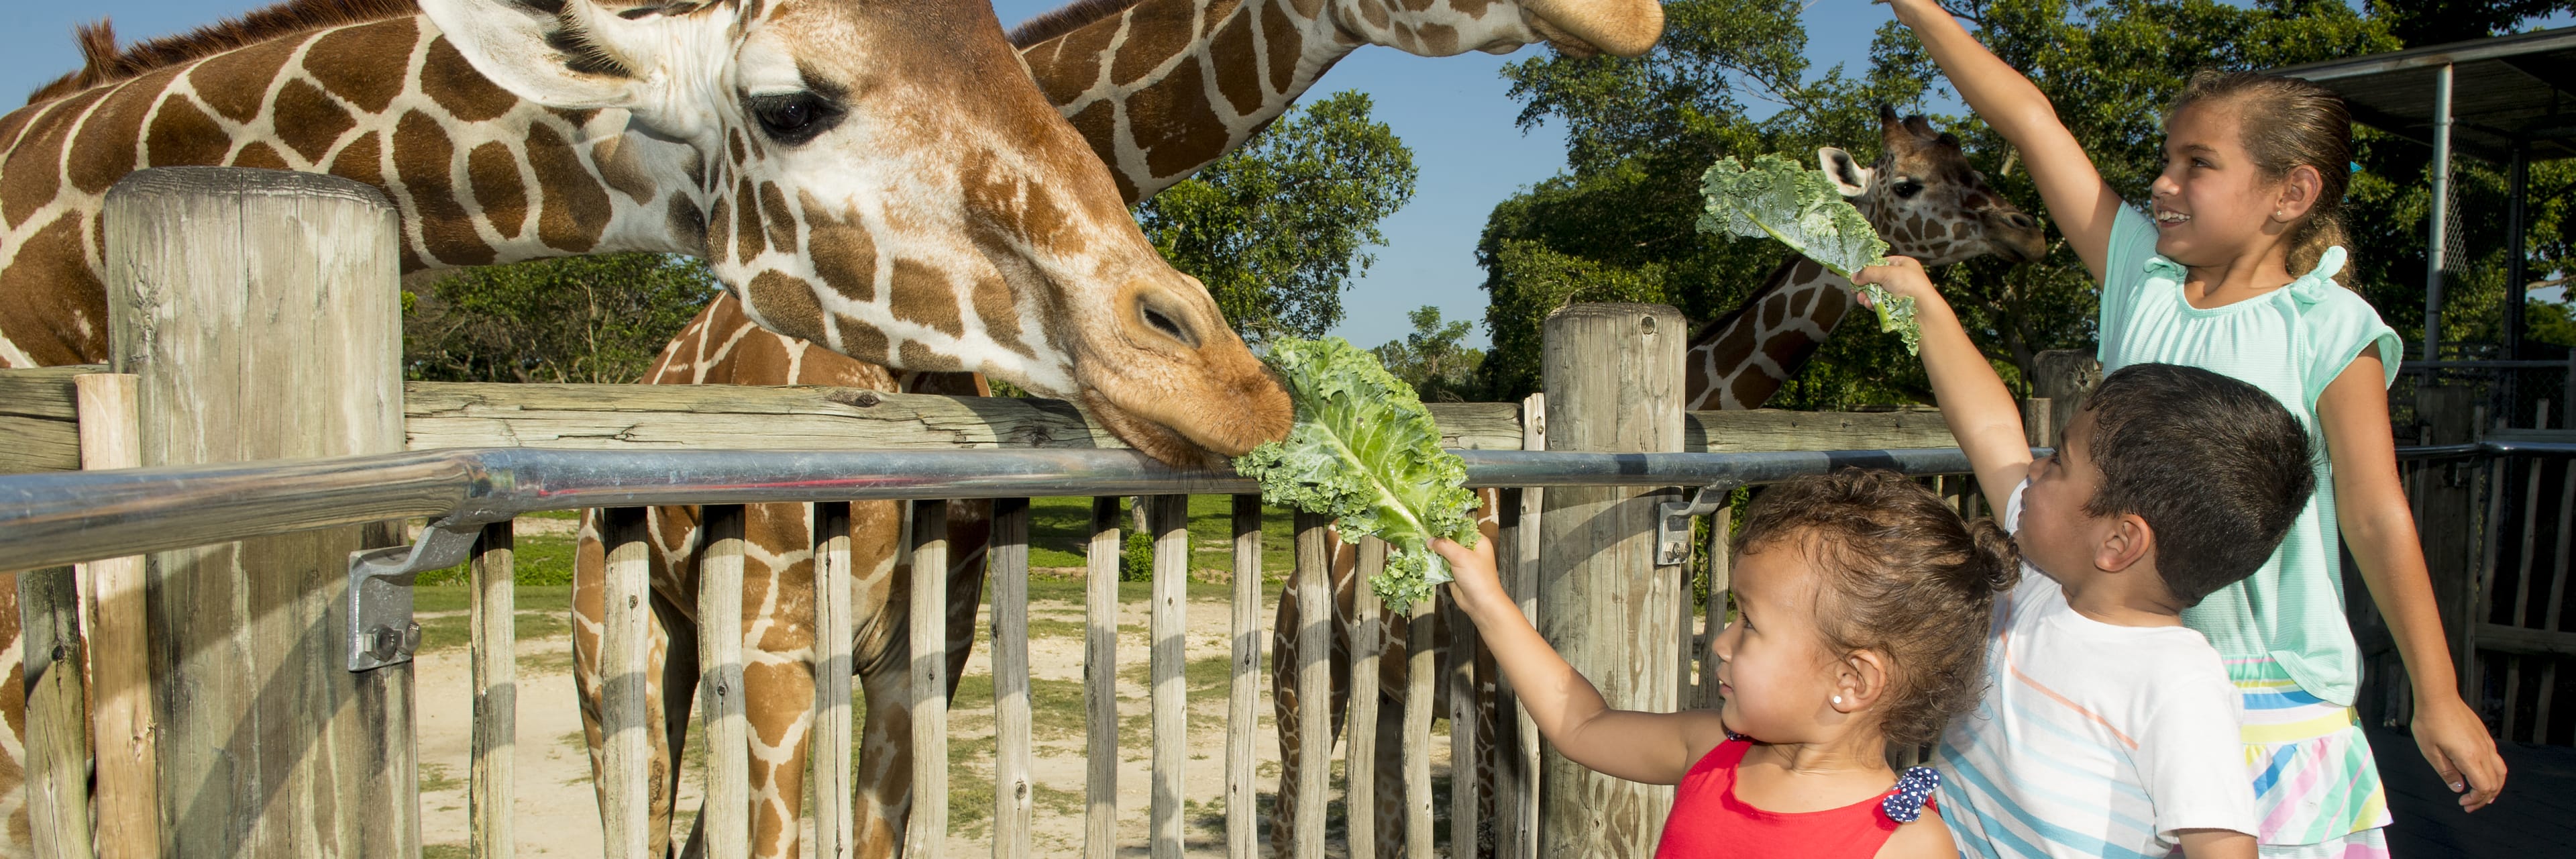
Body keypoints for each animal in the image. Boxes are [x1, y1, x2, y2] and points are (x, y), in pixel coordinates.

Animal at [0, 0, 1308, 851]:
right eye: (789, 103)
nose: (1230, 379)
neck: (56, 283)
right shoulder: (772, 642)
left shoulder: (917, 650)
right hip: (612, 643)